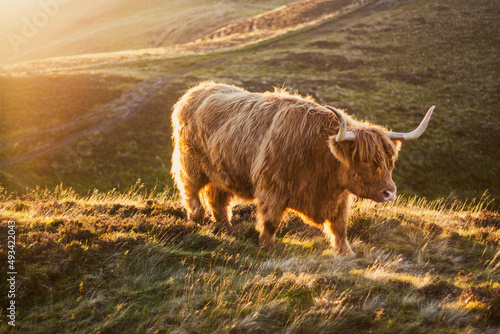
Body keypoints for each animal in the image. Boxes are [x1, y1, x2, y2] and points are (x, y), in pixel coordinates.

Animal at [172, 82, 434, 254]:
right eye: (367, 160)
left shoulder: (340, 197)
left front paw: (346, 253)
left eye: (390, 162)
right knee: (191, 189)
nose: (390, 193)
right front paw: (267, 246)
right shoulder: (272, 189)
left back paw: (225, 227)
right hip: (190, 163)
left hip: (222, 171)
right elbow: (271, 221)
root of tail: (196, 91)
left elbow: (340, 227)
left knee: (217, 198)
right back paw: (197, 216)